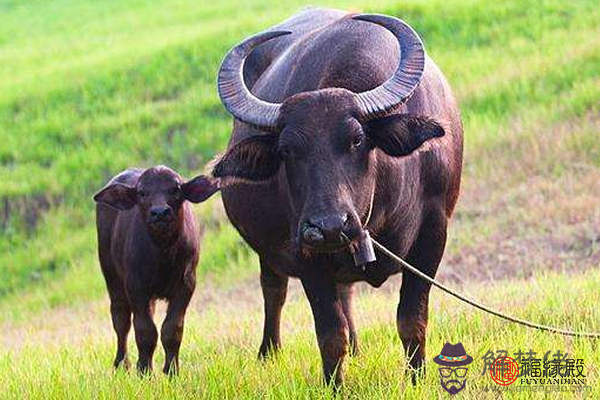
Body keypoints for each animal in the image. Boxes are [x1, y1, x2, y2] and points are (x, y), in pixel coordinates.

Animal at [92, 165, 218, 372]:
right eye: (142, 192)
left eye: (175, 189)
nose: (159, 213)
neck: (162, 253)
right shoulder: (136, 286)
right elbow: (145, 330)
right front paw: (144, 370)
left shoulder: (186, 284)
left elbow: (172, 328)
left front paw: (172, 369)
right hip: (111, 276)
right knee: (121, 319)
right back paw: (122, 364)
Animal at [212, 8, 464, 384]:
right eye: (286, 151)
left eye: (357, 139)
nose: (329, 226)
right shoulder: (303, 249)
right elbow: (330, 333)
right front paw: (335, 385)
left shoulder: (433, 234)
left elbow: (411, 318)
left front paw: (417, 377)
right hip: (270, 251)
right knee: (274, 290)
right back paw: (268, 352)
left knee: (345, 293)